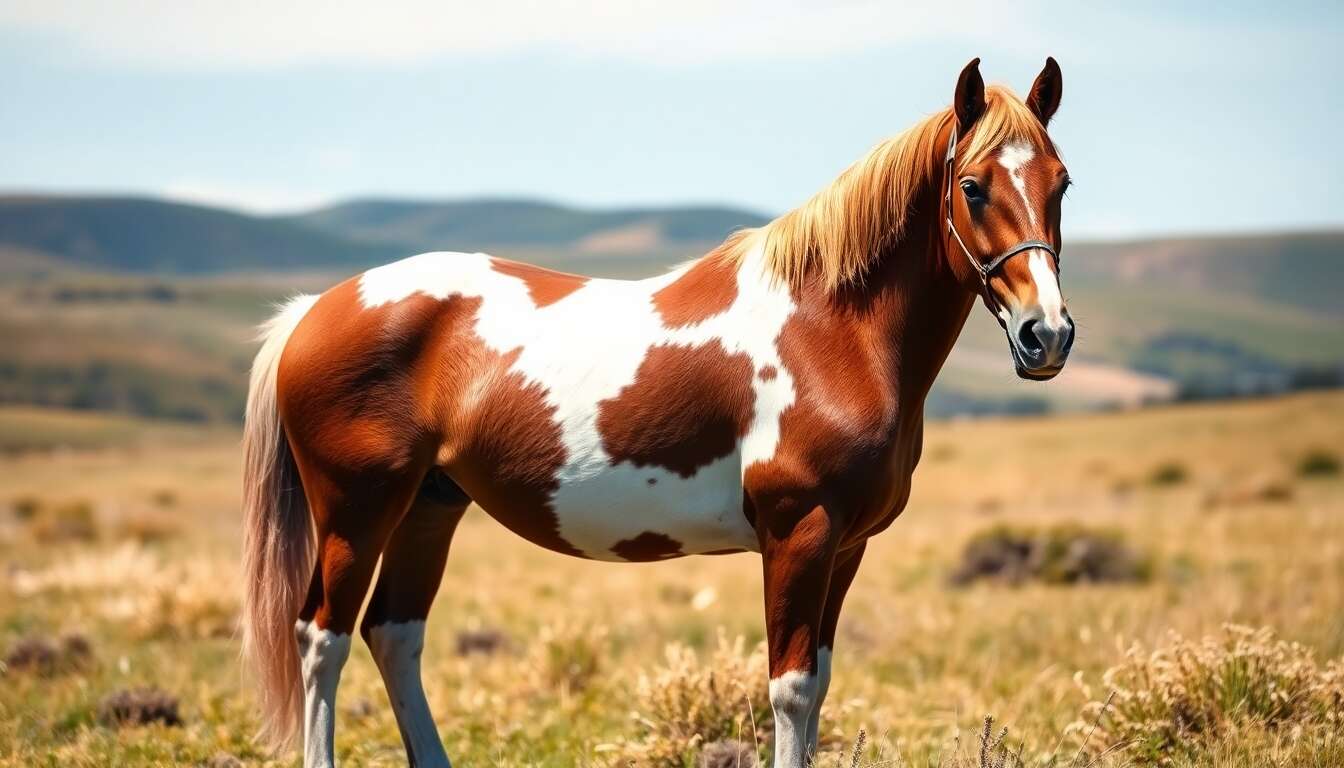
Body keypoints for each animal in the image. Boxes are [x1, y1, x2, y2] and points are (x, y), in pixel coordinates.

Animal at [241, 57, 1074, 768]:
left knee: (393, 633)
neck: (829, 330)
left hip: (430, 506)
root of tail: (319, 307)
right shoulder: (798, 531)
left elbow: (819, 689)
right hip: (357, 510)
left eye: (1062, 183)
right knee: (322, 637)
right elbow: (792, 689)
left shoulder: (847, 543)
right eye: (973, 187)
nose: (1048, 334)